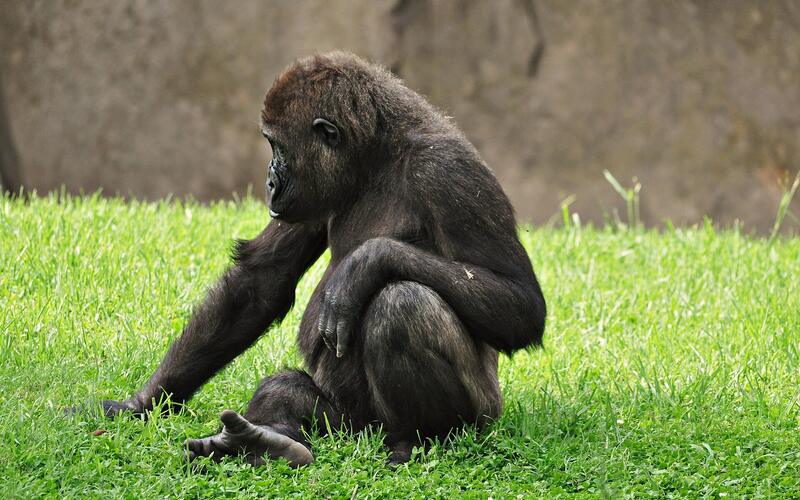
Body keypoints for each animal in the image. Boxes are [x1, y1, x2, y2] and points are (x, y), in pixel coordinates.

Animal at [100, 51, 546, 467]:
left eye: (276, 146)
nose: (269, 180)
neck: (377, 153)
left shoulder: (448, 170)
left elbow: (520, 302)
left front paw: (365, 264)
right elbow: (261, 281)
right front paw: (143, 403)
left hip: (479, 416)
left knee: (402, 305)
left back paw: (420, 441)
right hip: (347, 425)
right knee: (286, 390)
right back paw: (268, 441)